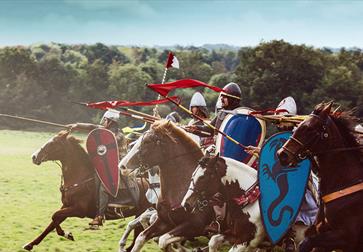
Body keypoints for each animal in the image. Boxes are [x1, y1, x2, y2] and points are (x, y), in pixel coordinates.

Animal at [23, 131, 151, 252]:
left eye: (53, 143)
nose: (34, 157)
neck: (80, 178)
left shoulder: (78, 210)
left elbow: (55, 216)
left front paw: (67, 234)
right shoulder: (66, 206)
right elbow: (52, 223)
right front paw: (30, 244)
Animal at [121, 120, 215, 252]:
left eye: (147, 142)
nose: (122, 166)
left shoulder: (196, 226)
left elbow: (163, 240)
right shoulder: (164, 222)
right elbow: (142, 237)